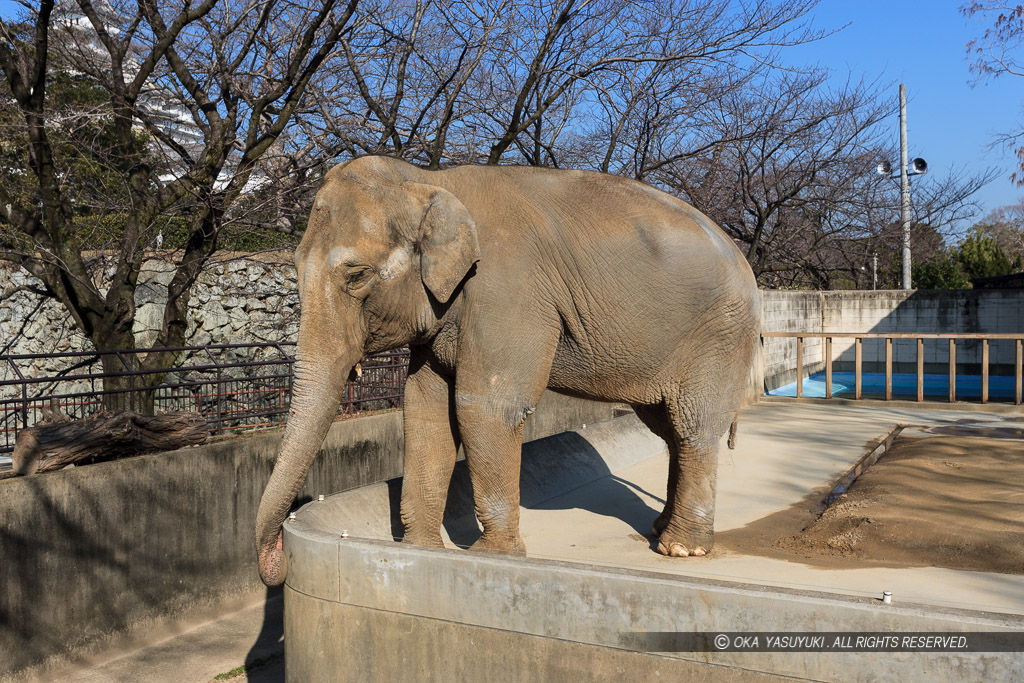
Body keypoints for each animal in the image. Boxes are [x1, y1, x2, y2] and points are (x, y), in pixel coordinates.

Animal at [256, 154, 761, 589]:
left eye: (357, 275)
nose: (278, 562)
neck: (428, 180)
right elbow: (425, 409)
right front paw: (422, 551)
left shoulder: (506, 288)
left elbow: (482, 407)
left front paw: (491, 556)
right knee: (667, 426)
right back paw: (660, 529)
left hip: (720, 334)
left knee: (693, 425)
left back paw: (680, 550)